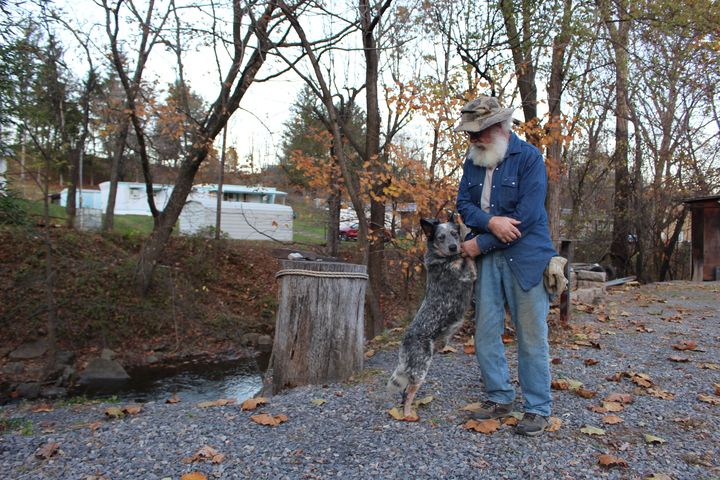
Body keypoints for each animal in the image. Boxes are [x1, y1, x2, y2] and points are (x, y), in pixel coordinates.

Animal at [388, 216, 478, 418]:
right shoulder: (468, 274)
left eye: (454, 234)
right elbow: (468, 258)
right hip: (421, 368)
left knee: (404, 391)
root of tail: (405, 340)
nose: (453, 247)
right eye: (440, 237)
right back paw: (408, 415)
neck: (441, 258)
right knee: (409, 392)